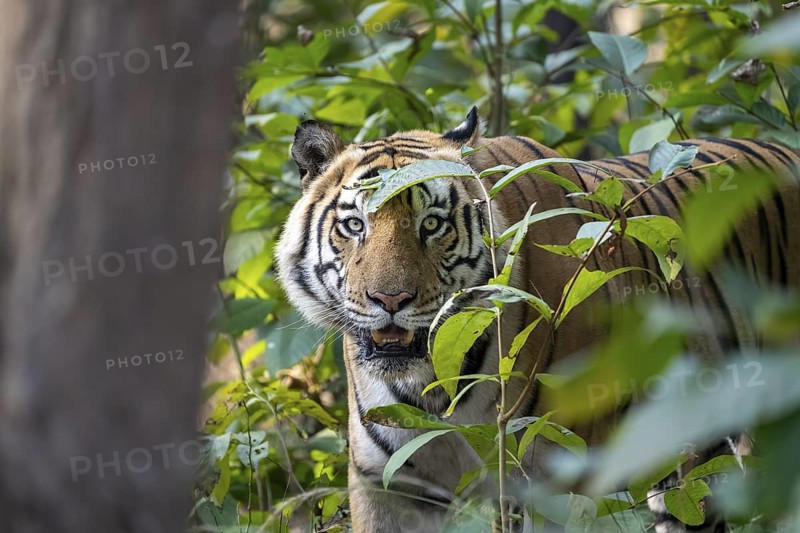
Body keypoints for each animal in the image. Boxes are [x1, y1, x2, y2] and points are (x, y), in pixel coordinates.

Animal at [275, 106, 800, 533]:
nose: (390, 298)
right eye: (354, 225)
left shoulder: (551, 481)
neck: (432, 385)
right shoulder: (391, 487)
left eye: (432, 225)